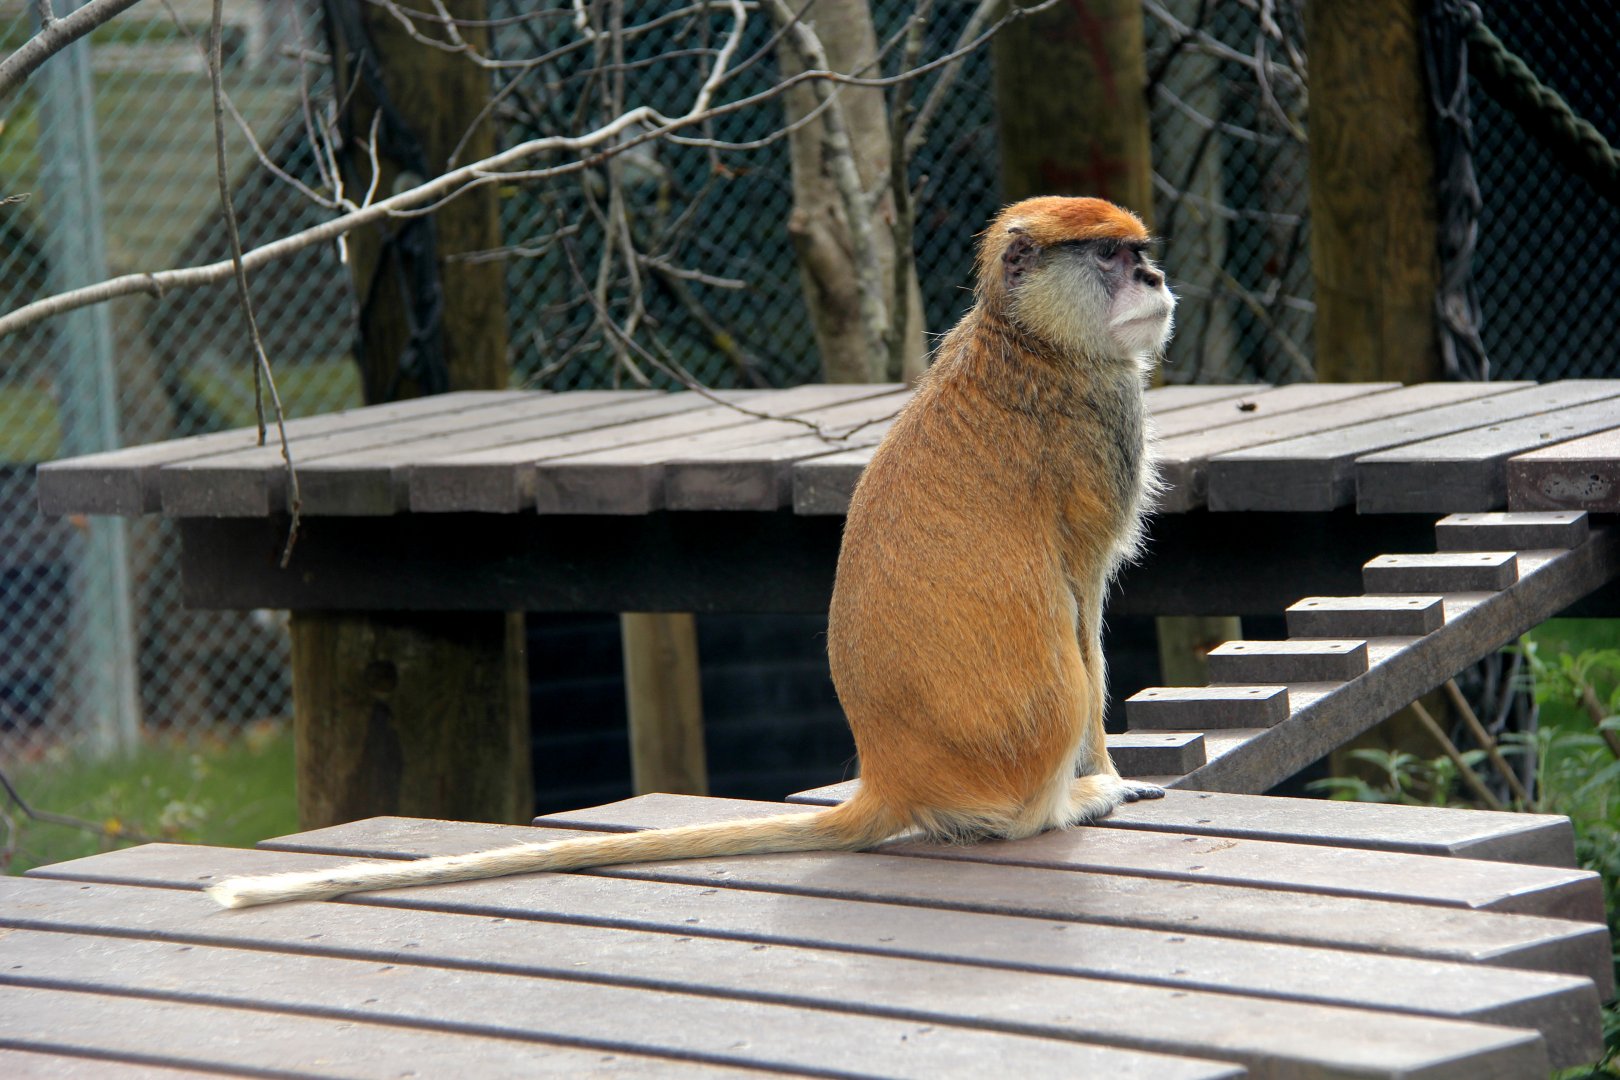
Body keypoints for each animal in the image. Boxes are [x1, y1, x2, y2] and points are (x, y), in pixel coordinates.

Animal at [206, 196, 1175, 909]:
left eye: (1139, 253)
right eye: (1110, 257)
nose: (1156, 276)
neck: (1029, 337)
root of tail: (891, 775)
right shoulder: (1101, 439)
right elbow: (1083, 612)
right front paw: (1107, 773)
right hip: (1020, 745)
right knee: (1062, 678)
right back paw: (1061, 801)